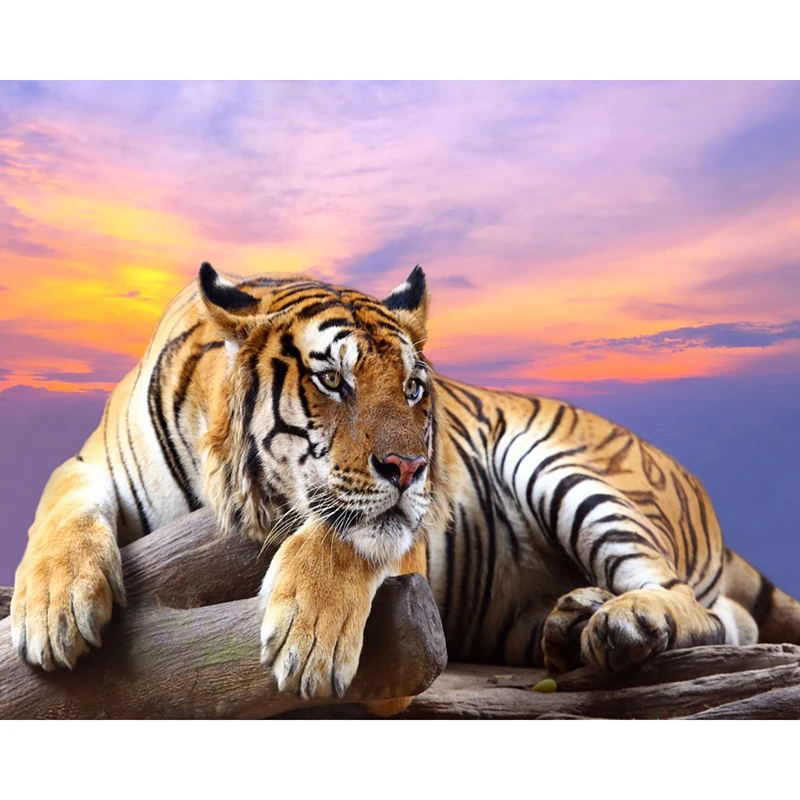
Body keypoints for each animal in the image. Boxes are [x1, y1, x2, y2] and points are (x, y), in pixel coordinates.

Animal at [11, 262, 800, 715]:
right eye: (333, 379)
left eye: (415, 387)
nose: (413, 468)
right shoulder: (91, 463)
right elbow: (57, 507)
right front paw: (52, 612)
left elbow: (346, 535)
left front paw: (309, 640)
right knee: (730, 618)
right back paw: (574, 621)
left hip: (565, 468)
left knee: (696, 607)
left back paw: (620, 623)